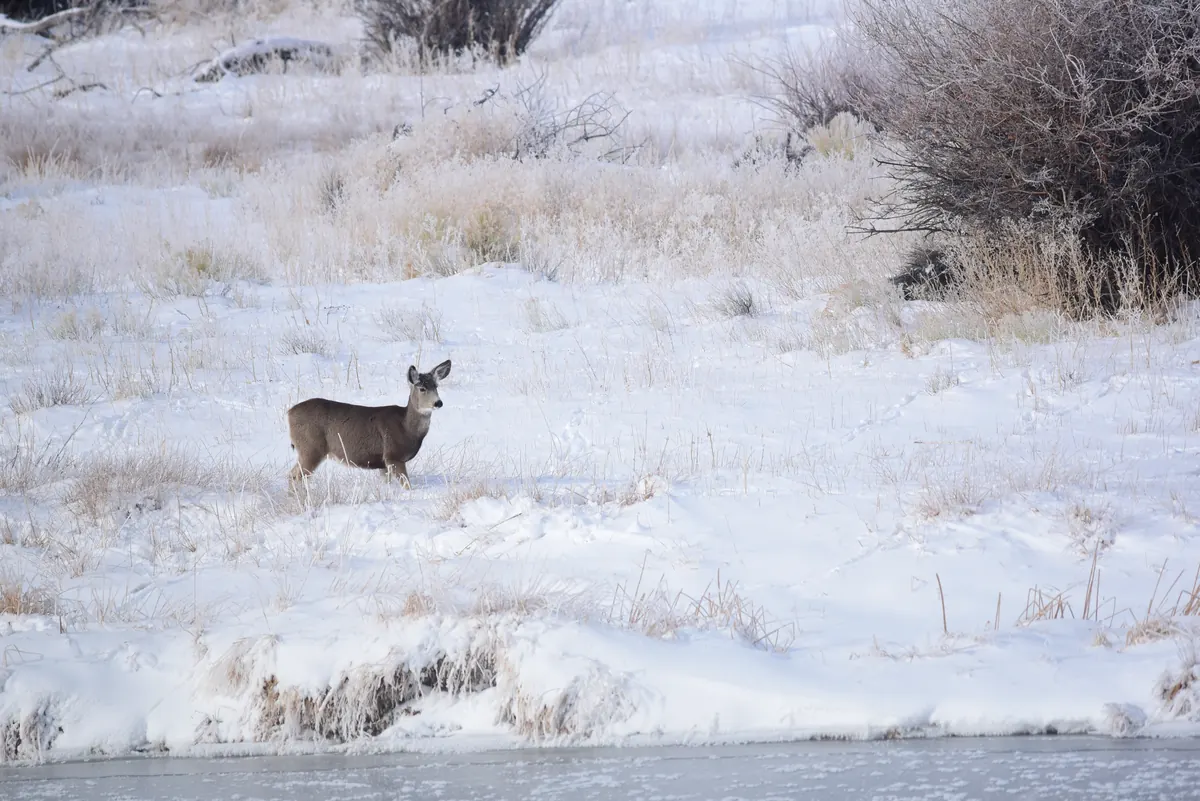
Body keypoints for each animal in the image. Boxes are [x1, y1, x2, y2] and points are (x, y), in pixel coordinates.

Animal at [286, 359, 451, 490]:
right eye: (422, 388)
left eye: (436, 386)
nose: (438, 403)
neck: (406, 427)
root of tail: (289, 413)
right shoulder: (393, 455)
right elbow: (407, 486)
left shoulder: (383, 464)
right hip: (311, 448)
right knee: (296, 476)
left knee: (292, 475)